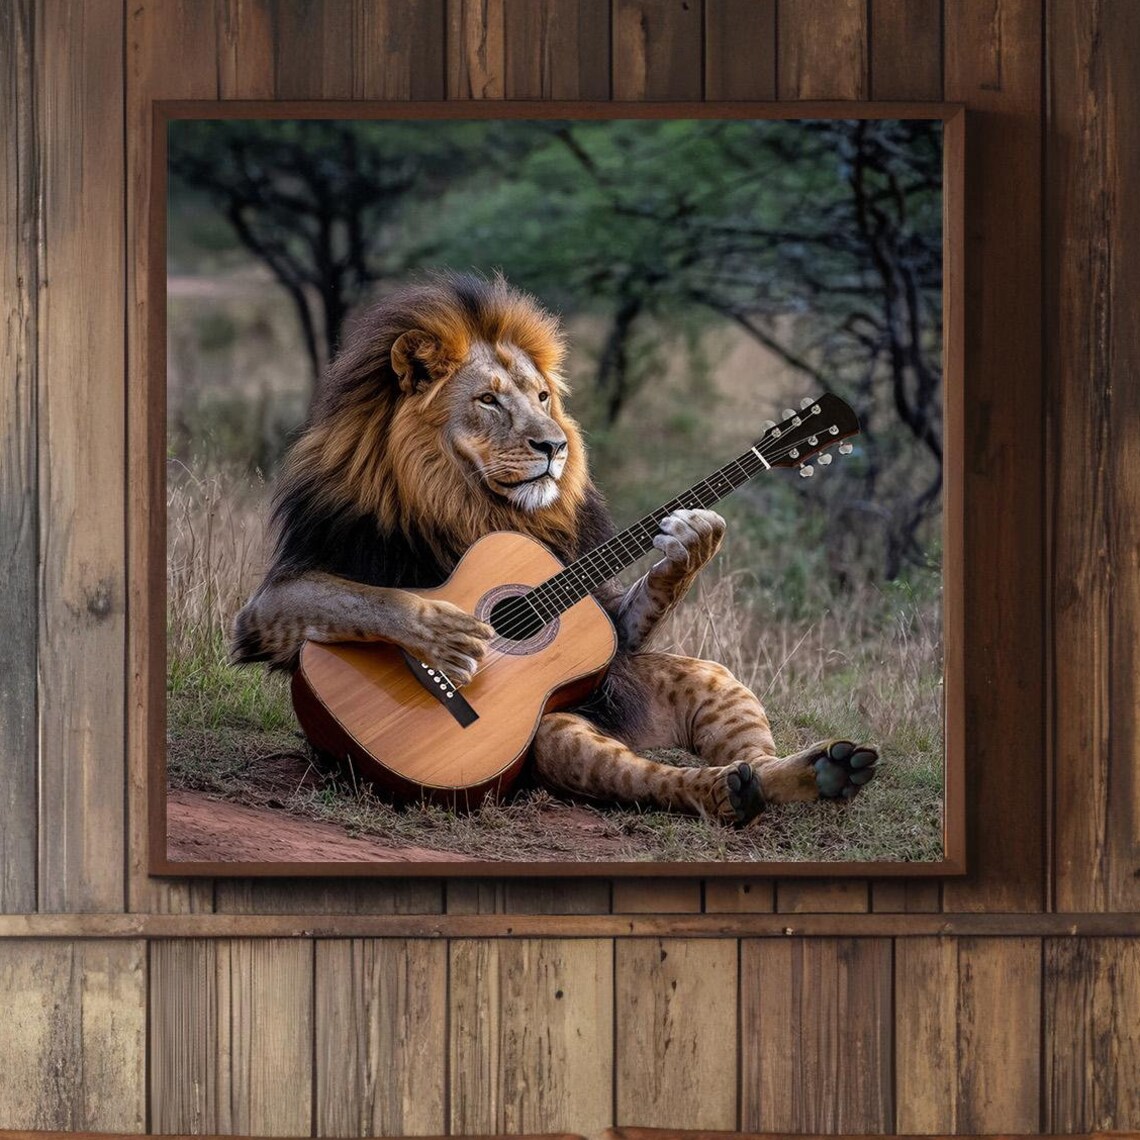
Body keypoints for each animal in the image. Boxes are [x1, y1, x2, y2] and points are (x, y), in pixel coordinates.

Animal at [232, 272, 878, 822]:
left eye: (543, 397)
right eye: (489, 401)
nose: (555, 445)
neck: (474, 502)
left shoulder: (607, 617)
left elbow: (624, 621)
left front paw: (693, 540)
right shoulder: (277, 597)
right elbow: (333, 602)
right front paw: (444, 638)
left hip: (706, 680)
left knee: (741, 735)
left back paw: (822, 772)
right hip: (549, 737)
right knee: (634, 768)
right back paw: (730, 791)